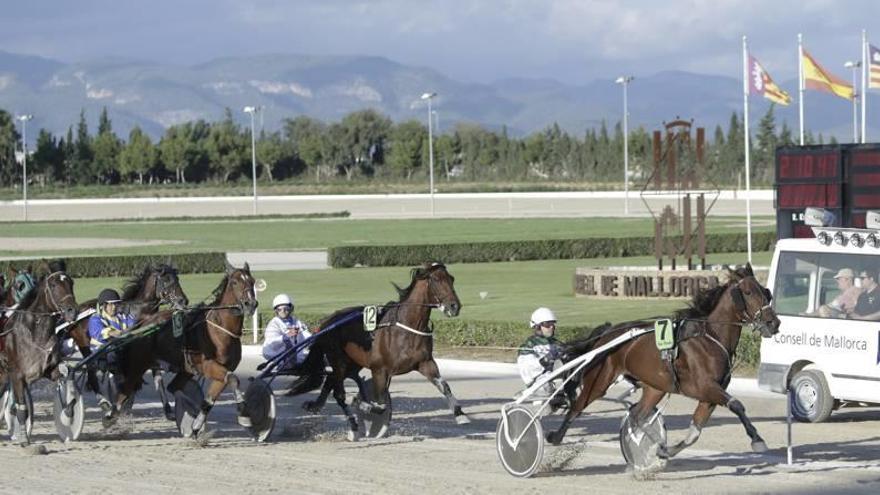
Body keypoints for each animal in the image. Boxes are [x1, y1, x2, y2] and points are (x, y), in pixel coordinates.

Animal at [0, 264, 77, 446]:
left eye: (71, 283)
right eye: (54, 285)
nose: (71, 311)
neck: (34, 333)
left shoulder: (48, 369)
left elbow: (66, 372)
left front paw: (69, 408)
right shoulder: (16, 374)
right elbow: (21, 409)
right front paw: (24, 439)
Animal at [67, 264, 189, 418]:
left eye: (177, 279)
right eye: (166, 280)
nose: (183, 301)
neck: (141, 315)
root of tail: (76, 313)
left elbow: (158, 380)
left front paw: (168, 411)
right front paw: (122, 406)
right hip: (86, 347)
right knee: (92, 374)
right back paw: (104, 403)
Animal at [107, 262, 258, 436]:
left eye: (252, 281)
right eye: (234, 282)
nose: (251, 304)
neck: (220, 328)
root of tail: (145, 323)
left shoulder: (224, 369)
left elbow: (211, 398)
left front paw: (196, 425)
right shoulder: (209, 365)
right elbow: (233, 379)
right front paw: (244, 414)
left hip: (183, 368)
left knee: (173, 386)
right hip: (139, 363)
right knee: (126, 387)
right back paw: (111, 415)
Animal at [300, 264, 468, 442]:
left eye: (451, 278)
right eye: (436, 279)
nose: (454, 306)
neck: (406, 328)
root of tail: (327, 321)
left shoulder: (425, 363)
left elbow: (444, 386)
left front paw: (460, 415)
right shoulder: (380, 370)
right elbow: (380, 405)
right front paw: (362, 403)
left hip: (352, 363)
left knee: (331, 384)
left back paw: (318, 408)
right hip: (338, 360)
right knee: (339, 393)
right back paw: (353, 428)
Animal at [548, 266, 780, 466]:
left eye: (765, 292)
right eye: (748, 292)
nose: (773, 323)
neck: (710, 337)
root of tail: (607, 334)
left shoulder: (709, 395)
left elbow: (694, 433)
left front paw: (665, 450)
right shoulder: (705, 387)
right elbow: (737, 405)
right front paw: (757, 440)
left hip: (655, 388)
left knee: (638, 416)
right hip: (599, 381)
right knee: (576, 408)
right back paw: (555, 437)